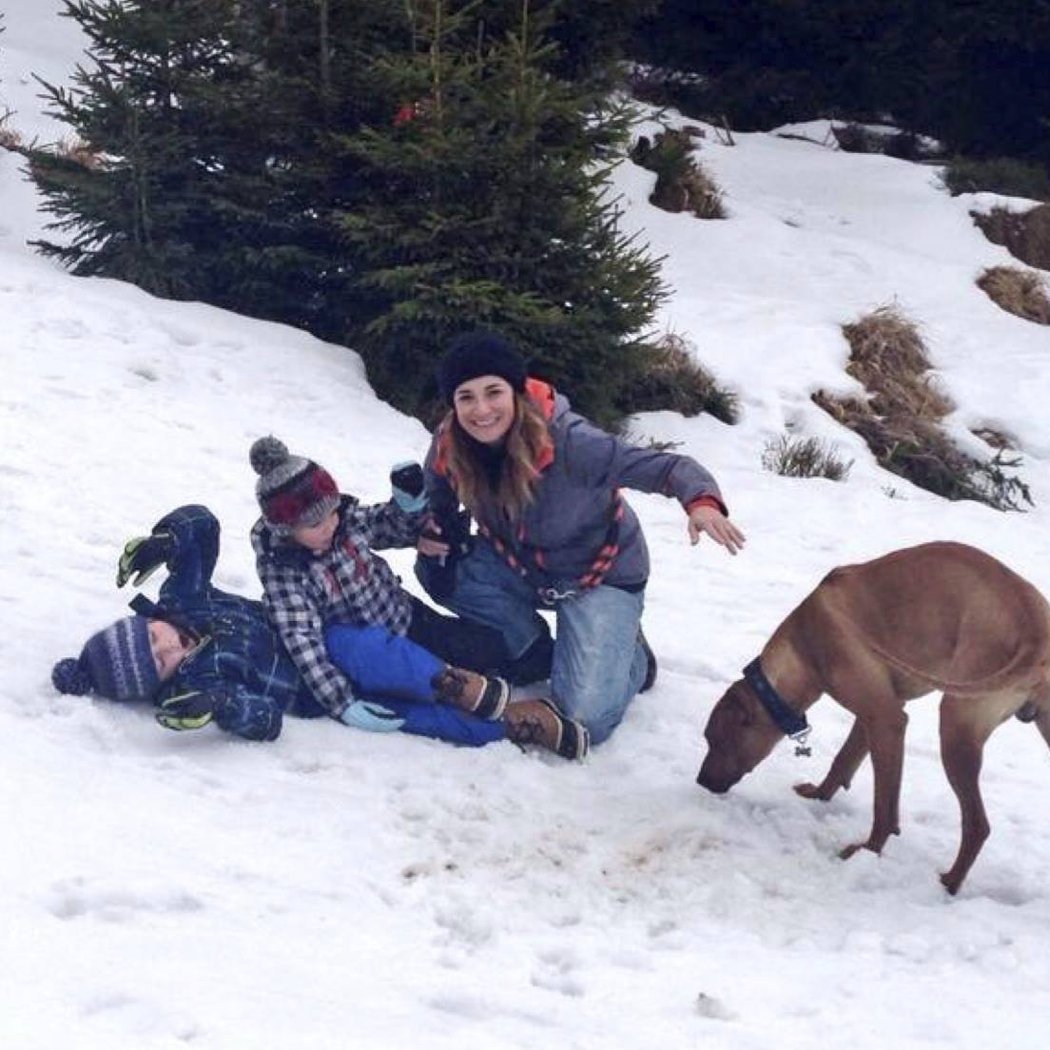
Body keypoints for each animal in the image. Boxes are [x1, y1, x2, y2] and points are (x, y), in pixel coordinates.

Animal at [697, 541, 1050, 894]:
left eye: (714, 739)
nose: (700, 781)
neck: (803, 644)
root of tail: (1034, 632)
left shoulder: (886, 718)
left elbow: (884, 806)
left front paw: (867, 851)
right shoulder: (873, 715)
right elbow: (843, 760)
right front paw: (820, 795)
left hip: (956, 726)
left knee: (977, 825)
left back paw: (949, 883)